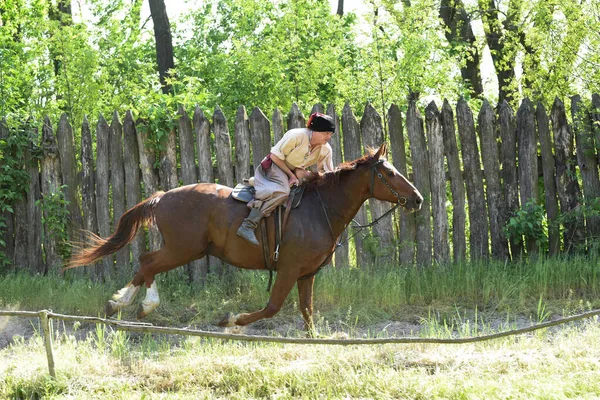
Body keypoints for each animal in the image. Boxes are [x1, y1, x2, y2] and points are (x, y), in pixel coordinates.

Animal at [67, 144, 422, 332]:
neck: (321, 209)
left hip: (183, 249)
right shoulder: (289, 270)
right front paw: (231, 319)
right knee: (148, 262)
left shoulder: (306, 274)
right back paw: (141, 305)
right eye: (390, 173)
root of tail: (162, 196)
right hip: (184, 249)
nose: (417, 199)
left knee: (144, 264)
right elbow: (272, 307)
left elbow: (307, 312)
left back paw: (119, 302)